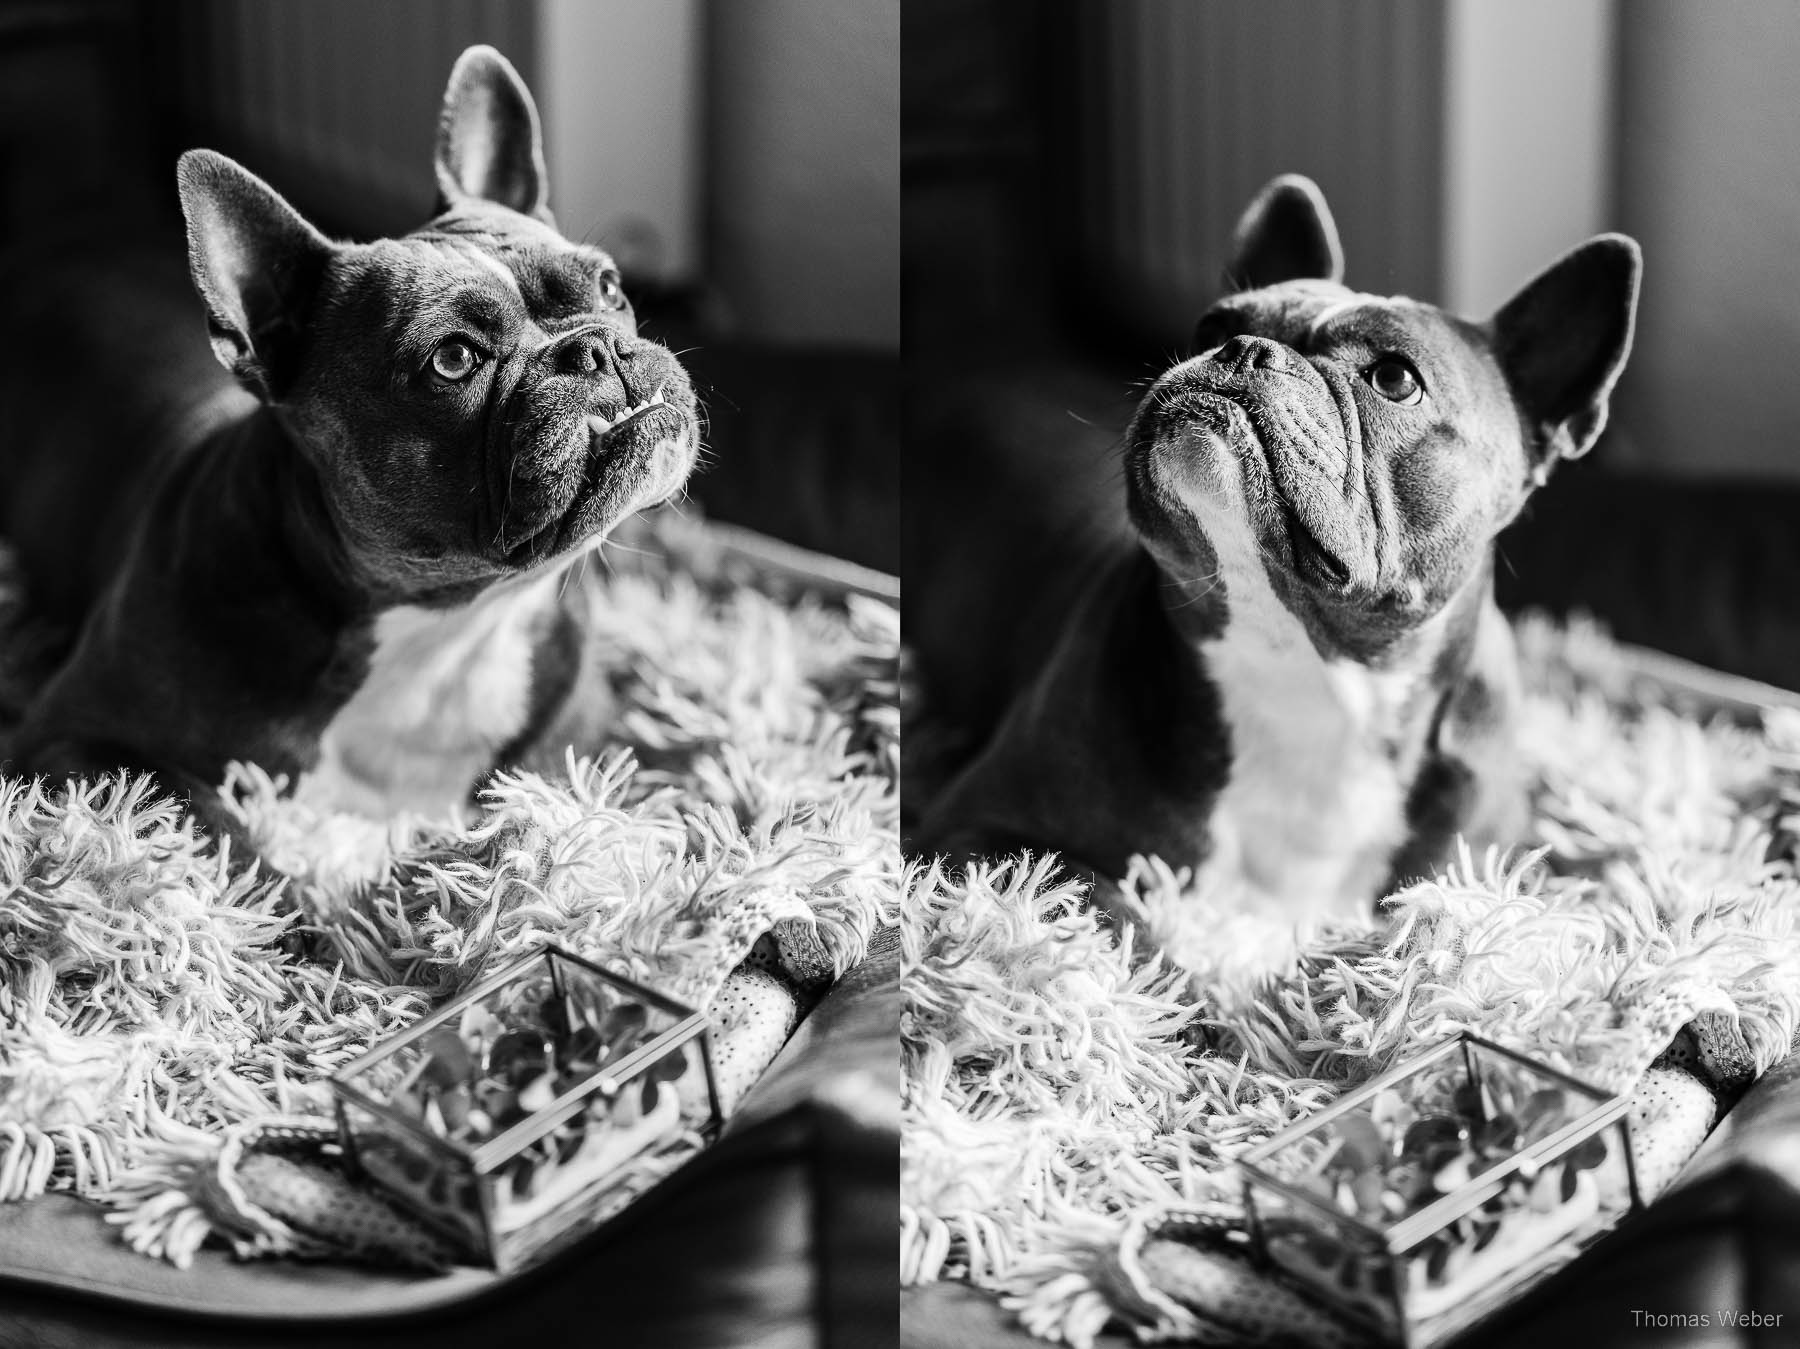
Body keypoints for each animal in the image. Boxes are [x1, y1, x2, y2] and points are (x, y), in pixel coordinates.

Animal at [0, 42, 698, 821]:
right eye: (453, 359)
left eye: (609, 287)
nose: (598, 349)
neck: (441, 633)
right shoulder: (73, 740)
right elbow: (207, 822)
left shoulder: (583, 734)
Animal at [907, 173, 1641, 922]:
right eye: (1212, 326)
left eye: (1395, 378)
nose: (1243, 348)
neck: (1303, 668)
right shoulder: (979, 829)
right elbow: (1106, 904)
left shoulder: (1487, 877)